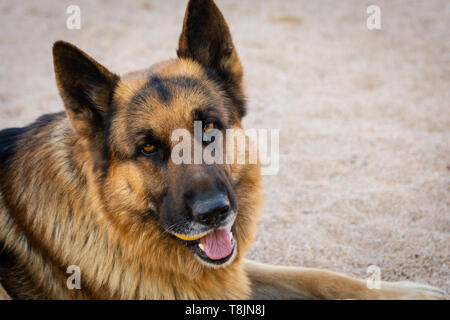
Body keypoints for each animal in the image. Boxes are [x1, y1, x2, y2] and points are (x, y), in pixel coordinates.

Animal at [0, 0, 442, 300]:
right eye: (148, 148)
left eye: (209, 128)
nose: (214, 212)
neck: (116, 228)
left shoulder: (231, 271)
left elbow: (317, 276)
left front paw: (405, 291)